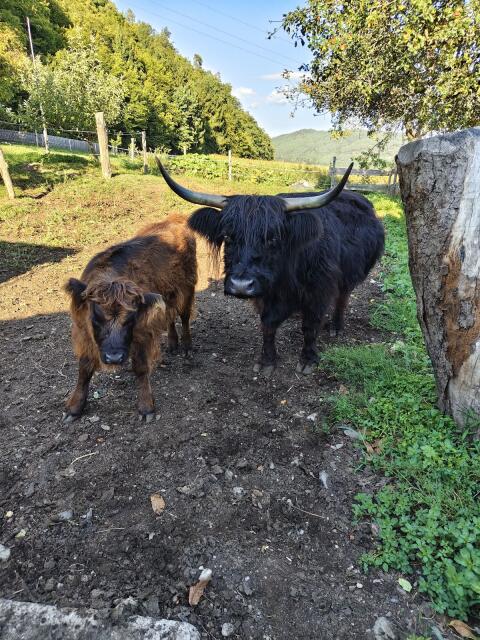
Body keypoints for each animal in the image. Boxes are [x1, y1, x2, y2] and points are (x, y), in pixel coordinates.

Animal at [63, 213, 197, 422]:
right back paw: (172, 344)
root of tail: (175, 219)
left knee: (183, 316)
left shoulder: (142, 333)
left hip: (186, 288)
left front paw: (146, 407)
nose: (114, 357)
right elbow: (84, 369)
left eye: (130, 320)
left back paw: (186, 347)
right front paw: (74, 408)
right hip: (166, 296)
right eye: (96, 319)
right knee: (169, 316)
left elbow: (140, 368)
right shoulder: (84, 333)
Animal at [155, 157, 384, 376]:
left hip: (351, 274)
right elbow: (268, 325)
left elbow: (310, 326)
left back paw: (336, 327)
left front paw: (308, 360)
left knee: (343, 298)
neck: (283, 278)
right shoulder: (265, 296)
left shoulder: (319, 291)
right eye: (228, 236)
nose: (241, 285)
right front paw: (267, 361)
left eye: (273, 238)